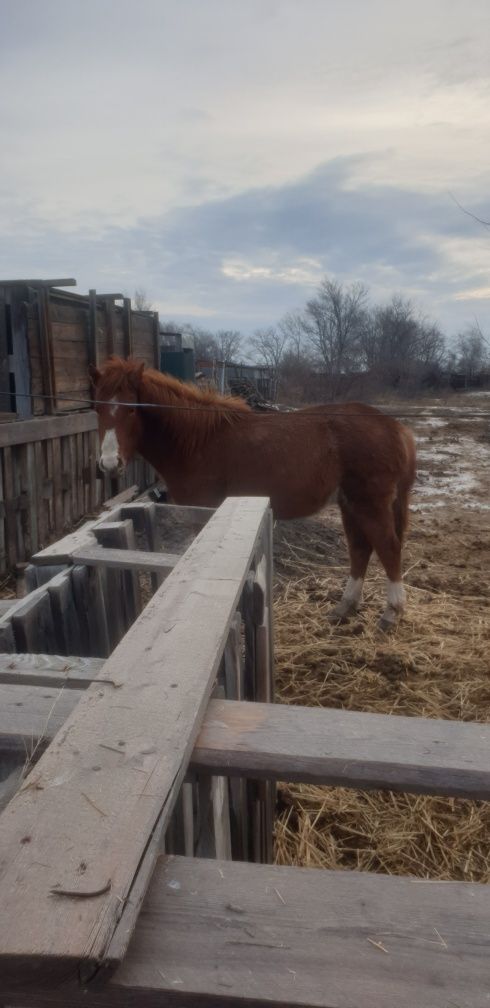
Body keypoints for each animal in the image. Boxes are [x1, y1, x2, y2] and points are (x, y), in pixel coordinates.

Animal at [89, 358, 415, 628]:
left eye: (132, 409)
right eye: (98, 408)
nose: (109, 463)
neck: (197, 440)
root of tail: (394, 426)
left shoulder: (203, 511)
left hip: (369, 503)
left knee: (388, 547)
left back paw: (391, 612)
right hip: (350, 503)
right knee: (360, 549)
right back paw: (345, 607)